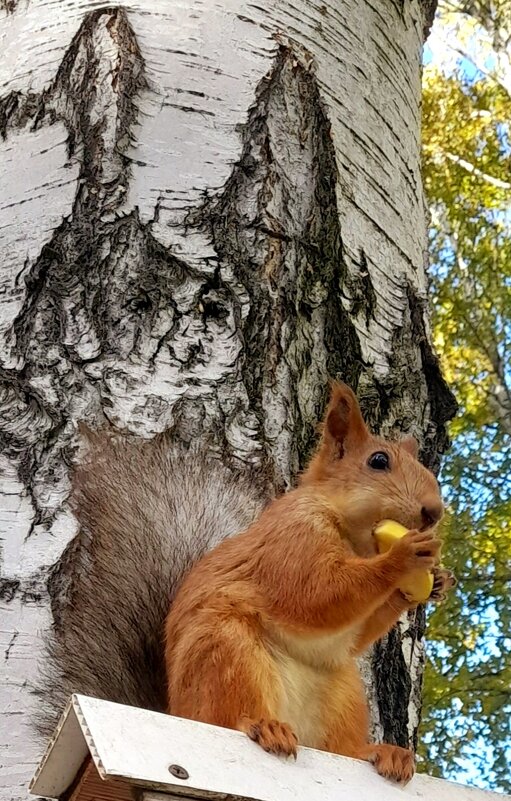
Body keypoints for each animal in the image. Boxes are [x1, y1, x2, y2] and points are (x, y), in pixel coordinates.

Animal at [165, 382, 456, 780]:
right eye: (378, 461)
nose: (434, 513)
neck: (356, 540)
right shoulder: (294, 537)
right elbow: (316, 595)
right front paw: (401, 557)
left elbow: (354, 634)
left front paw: (436, 582)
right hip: (223, 648)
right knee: (227, 715)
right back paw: (263, 726)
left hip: (343, 694)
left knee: (342, 749)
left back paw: (381, 752)